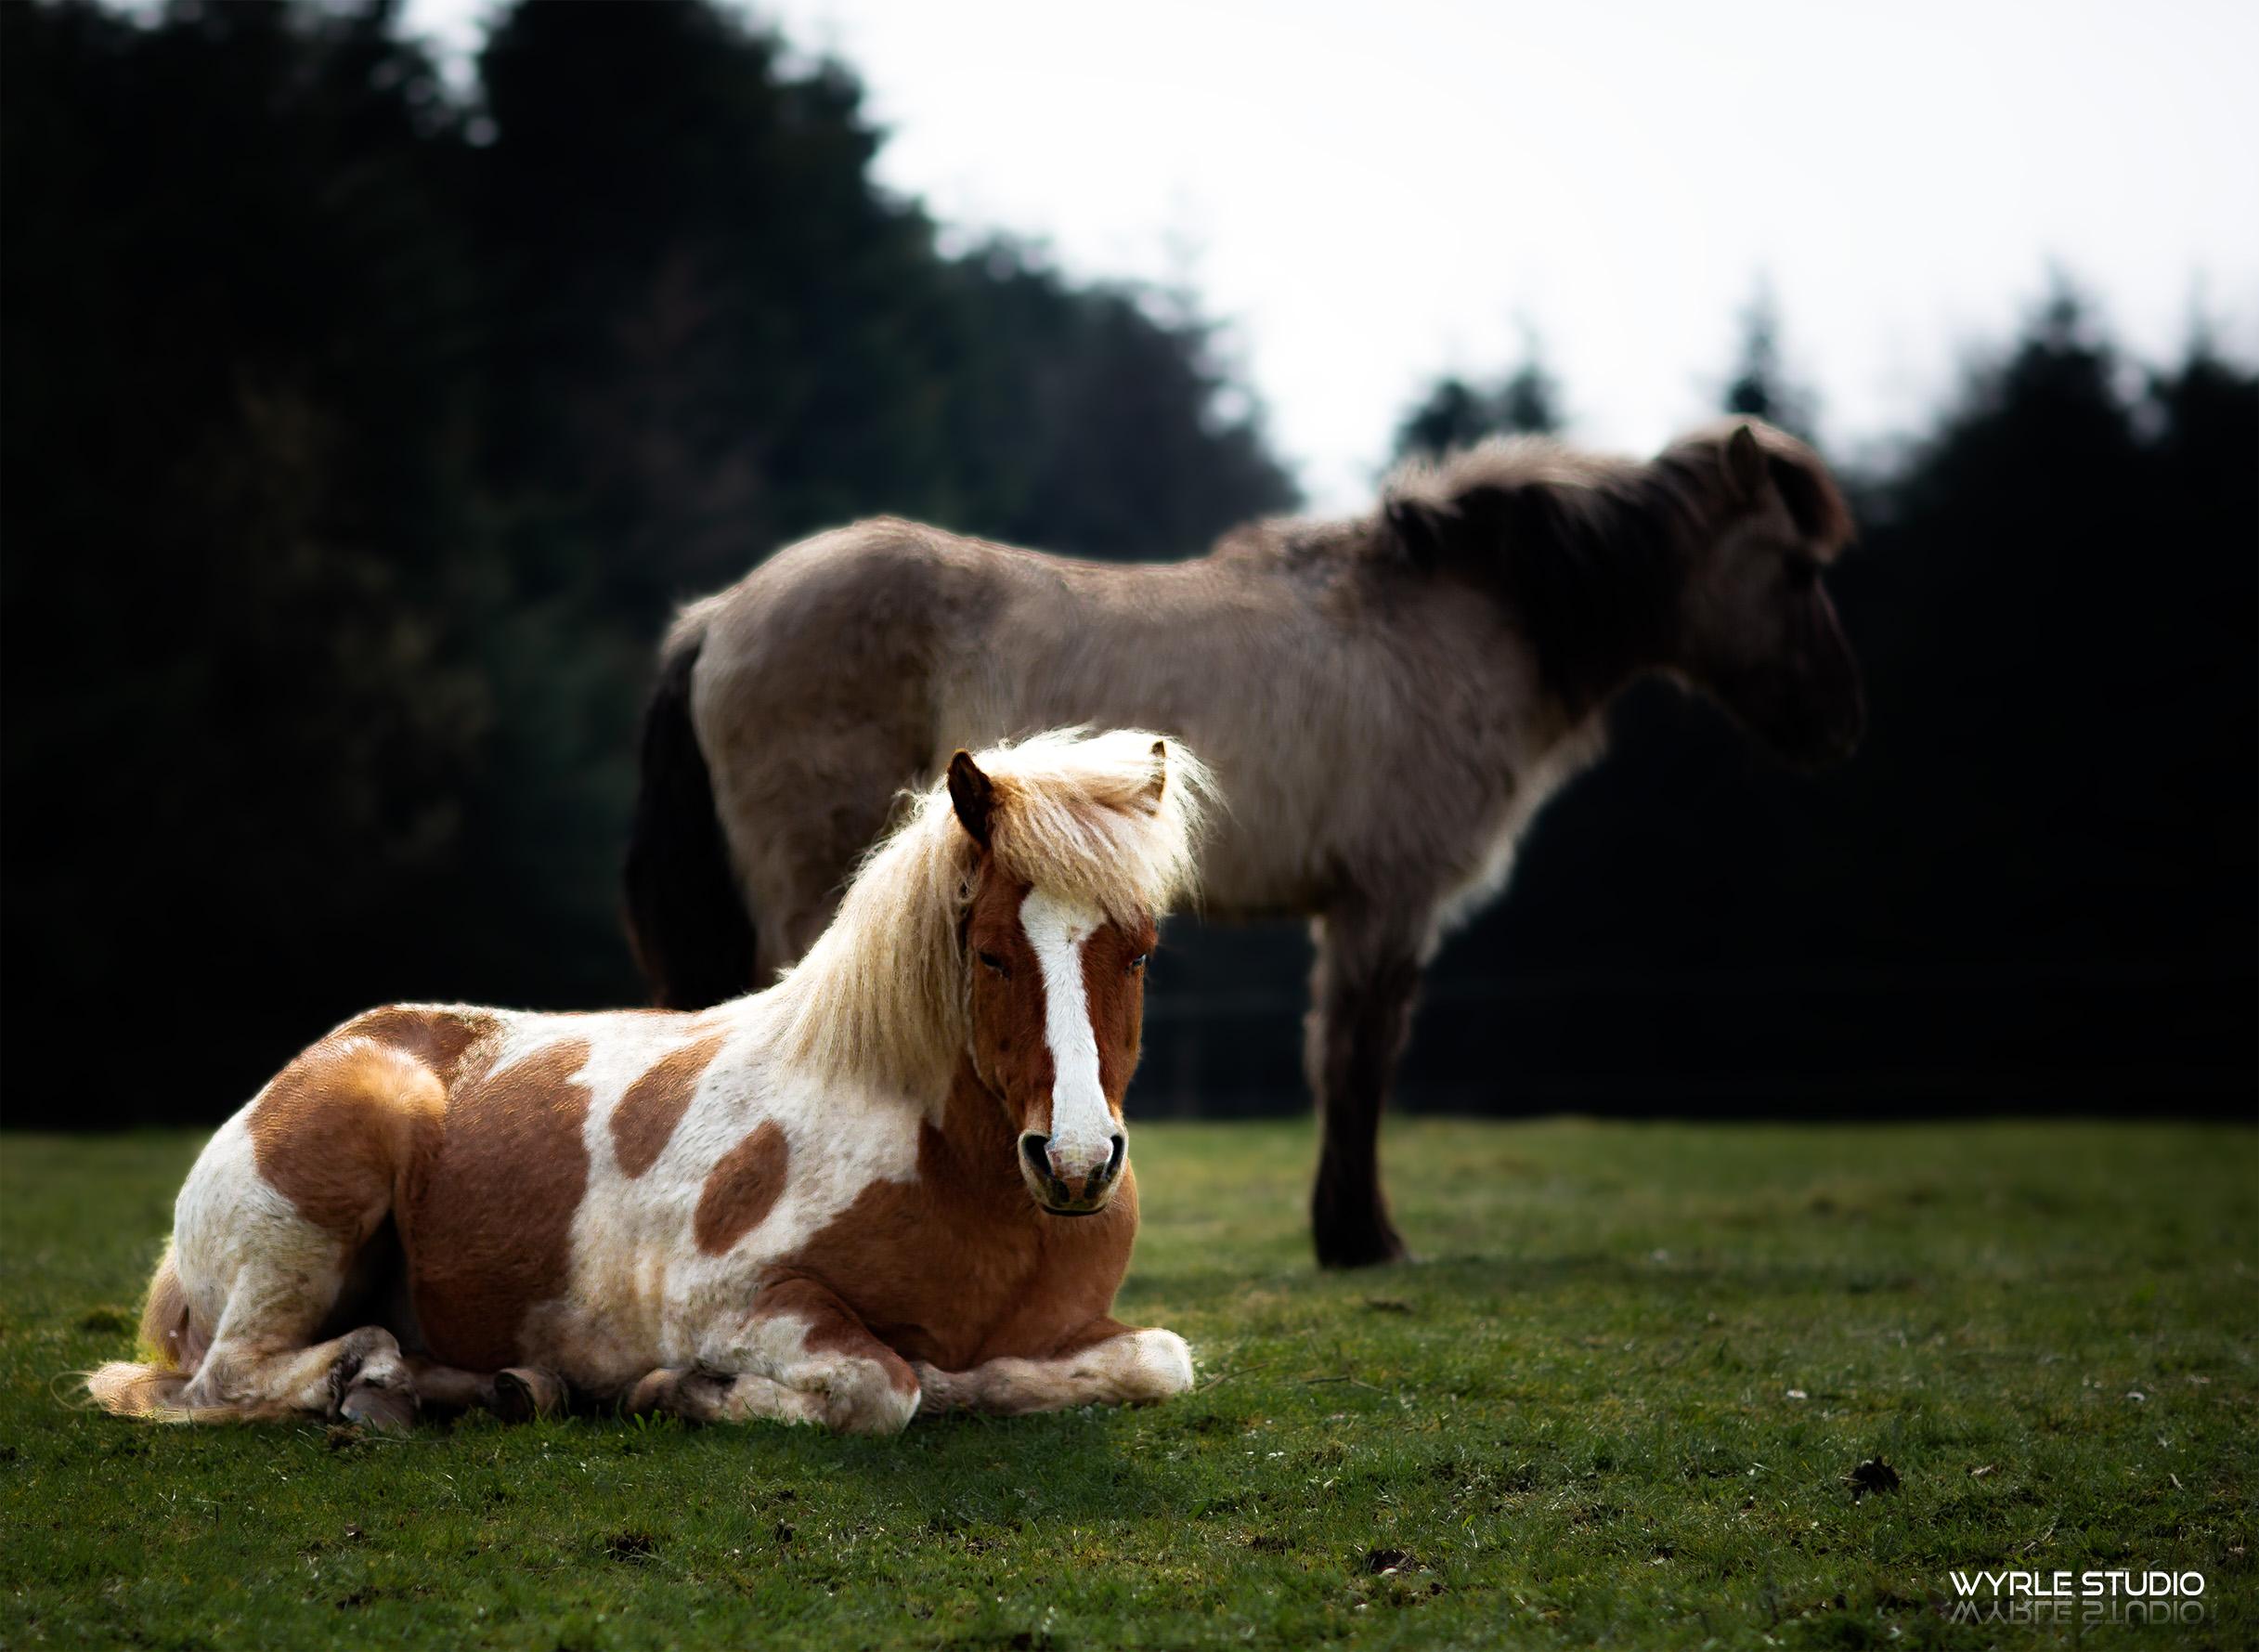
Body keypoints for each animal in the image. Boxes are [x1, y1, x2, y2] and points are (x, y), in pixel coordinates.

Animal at [85, 727, 1211, 1437]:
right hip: (313, 1214)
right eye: (988, 954)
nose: (1076, 1162)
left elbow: (1158, 1358)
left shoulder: (1107, 1332)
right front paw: (680, 1390)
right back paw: (370, 1377)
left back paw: (494, 1388)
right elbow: (882, 1386)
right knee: (228, 1378)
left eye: (1139, 951)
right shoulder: (744, 1305)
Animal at [628, 415, 1861, 1265]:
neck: (1439, 629)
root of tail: (722, 614)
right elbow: (1357, 1059)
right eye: (1796, 567)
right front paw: (1363, 1242)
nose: (1837, 723)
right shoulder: (1386, 901)